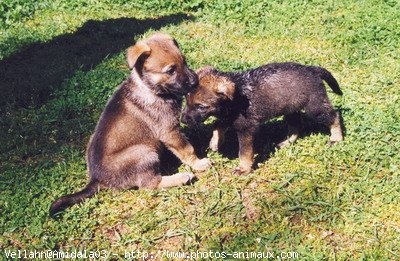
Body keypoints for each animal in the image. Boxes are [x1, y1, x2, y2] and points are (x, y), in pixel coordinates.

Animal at [50, 33, 211, 215]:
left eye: (184, 61)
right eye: (170, 71)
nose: (195, 81)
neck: (150, 88)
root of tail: (96, 180)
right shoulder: (169, 130)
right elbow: (187, 149)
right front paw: (199, 163)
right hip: (144, 152)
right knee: (150, 184)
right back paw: (182, 177)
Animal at [183, 62, 342, 174]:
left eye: (201, 106)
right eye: (186, 100)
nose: (183, 120)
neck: (235, 98)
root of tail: (312, 69)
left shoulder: (246, 128)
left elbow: (244, 152)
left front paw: (243, 169)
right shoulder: (229, 117)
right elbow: (217, 125)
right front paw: (215, 142)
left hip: (315, 107)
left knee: (334, 117)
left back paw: (336, 138)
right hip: (290, 109)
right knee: (296, 126)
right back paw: (286, 142)